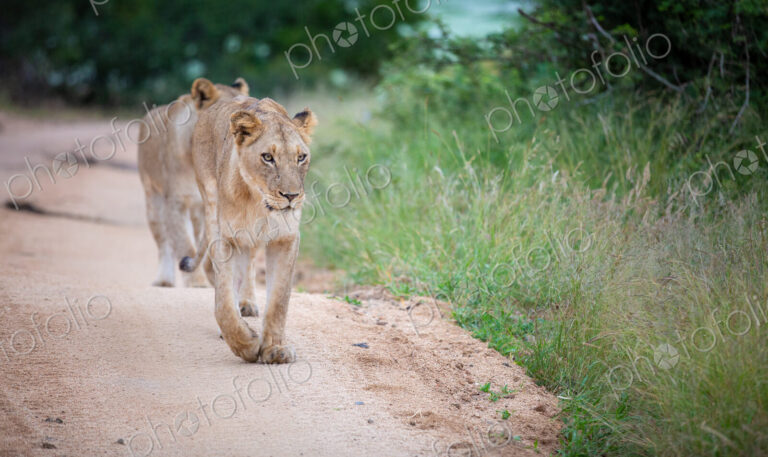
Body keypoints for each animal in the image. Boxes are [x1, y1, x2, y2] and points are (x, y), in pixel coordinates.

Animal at [138, 78, 260, 315]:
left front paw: (245, 301)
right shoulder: (175, 203)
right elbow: (186, 245)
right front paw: (198, 282)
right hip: (153, 200)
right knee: (164, 242)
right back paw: (164, 279)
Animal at [180, 95, 316, 363]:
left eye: (301, 157)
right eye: (267, 157)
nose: (292, 196)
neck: (258, 204)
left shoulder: (286, 239)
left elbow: (278, 301)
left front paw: (275, 349)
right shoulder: (226, 238)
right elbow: (223, 303)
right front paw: (246, 344)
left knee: (249, 262)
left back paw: (248, 304)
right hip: (211, 206)